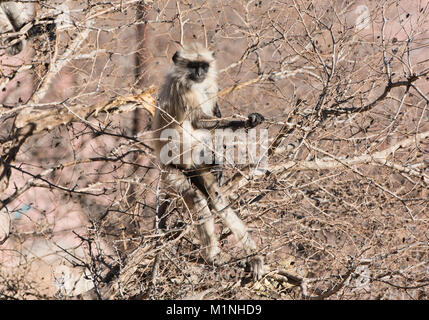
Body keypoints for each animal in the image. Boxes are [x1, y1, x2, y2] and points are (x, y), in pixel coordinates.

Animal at [150, 43, 264, 280]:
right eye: (193, 65)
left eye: (203, 65)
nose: (200, 73)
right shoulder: (182, 89)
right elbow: (199, 120)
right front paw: (245, 122)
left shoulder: (209, 85)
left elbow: (212, 111)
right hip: (172, 170)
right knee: (198, 197)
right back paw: (213, 256)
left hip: (194, 169)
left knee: (216, 198)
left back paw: (251, 256)